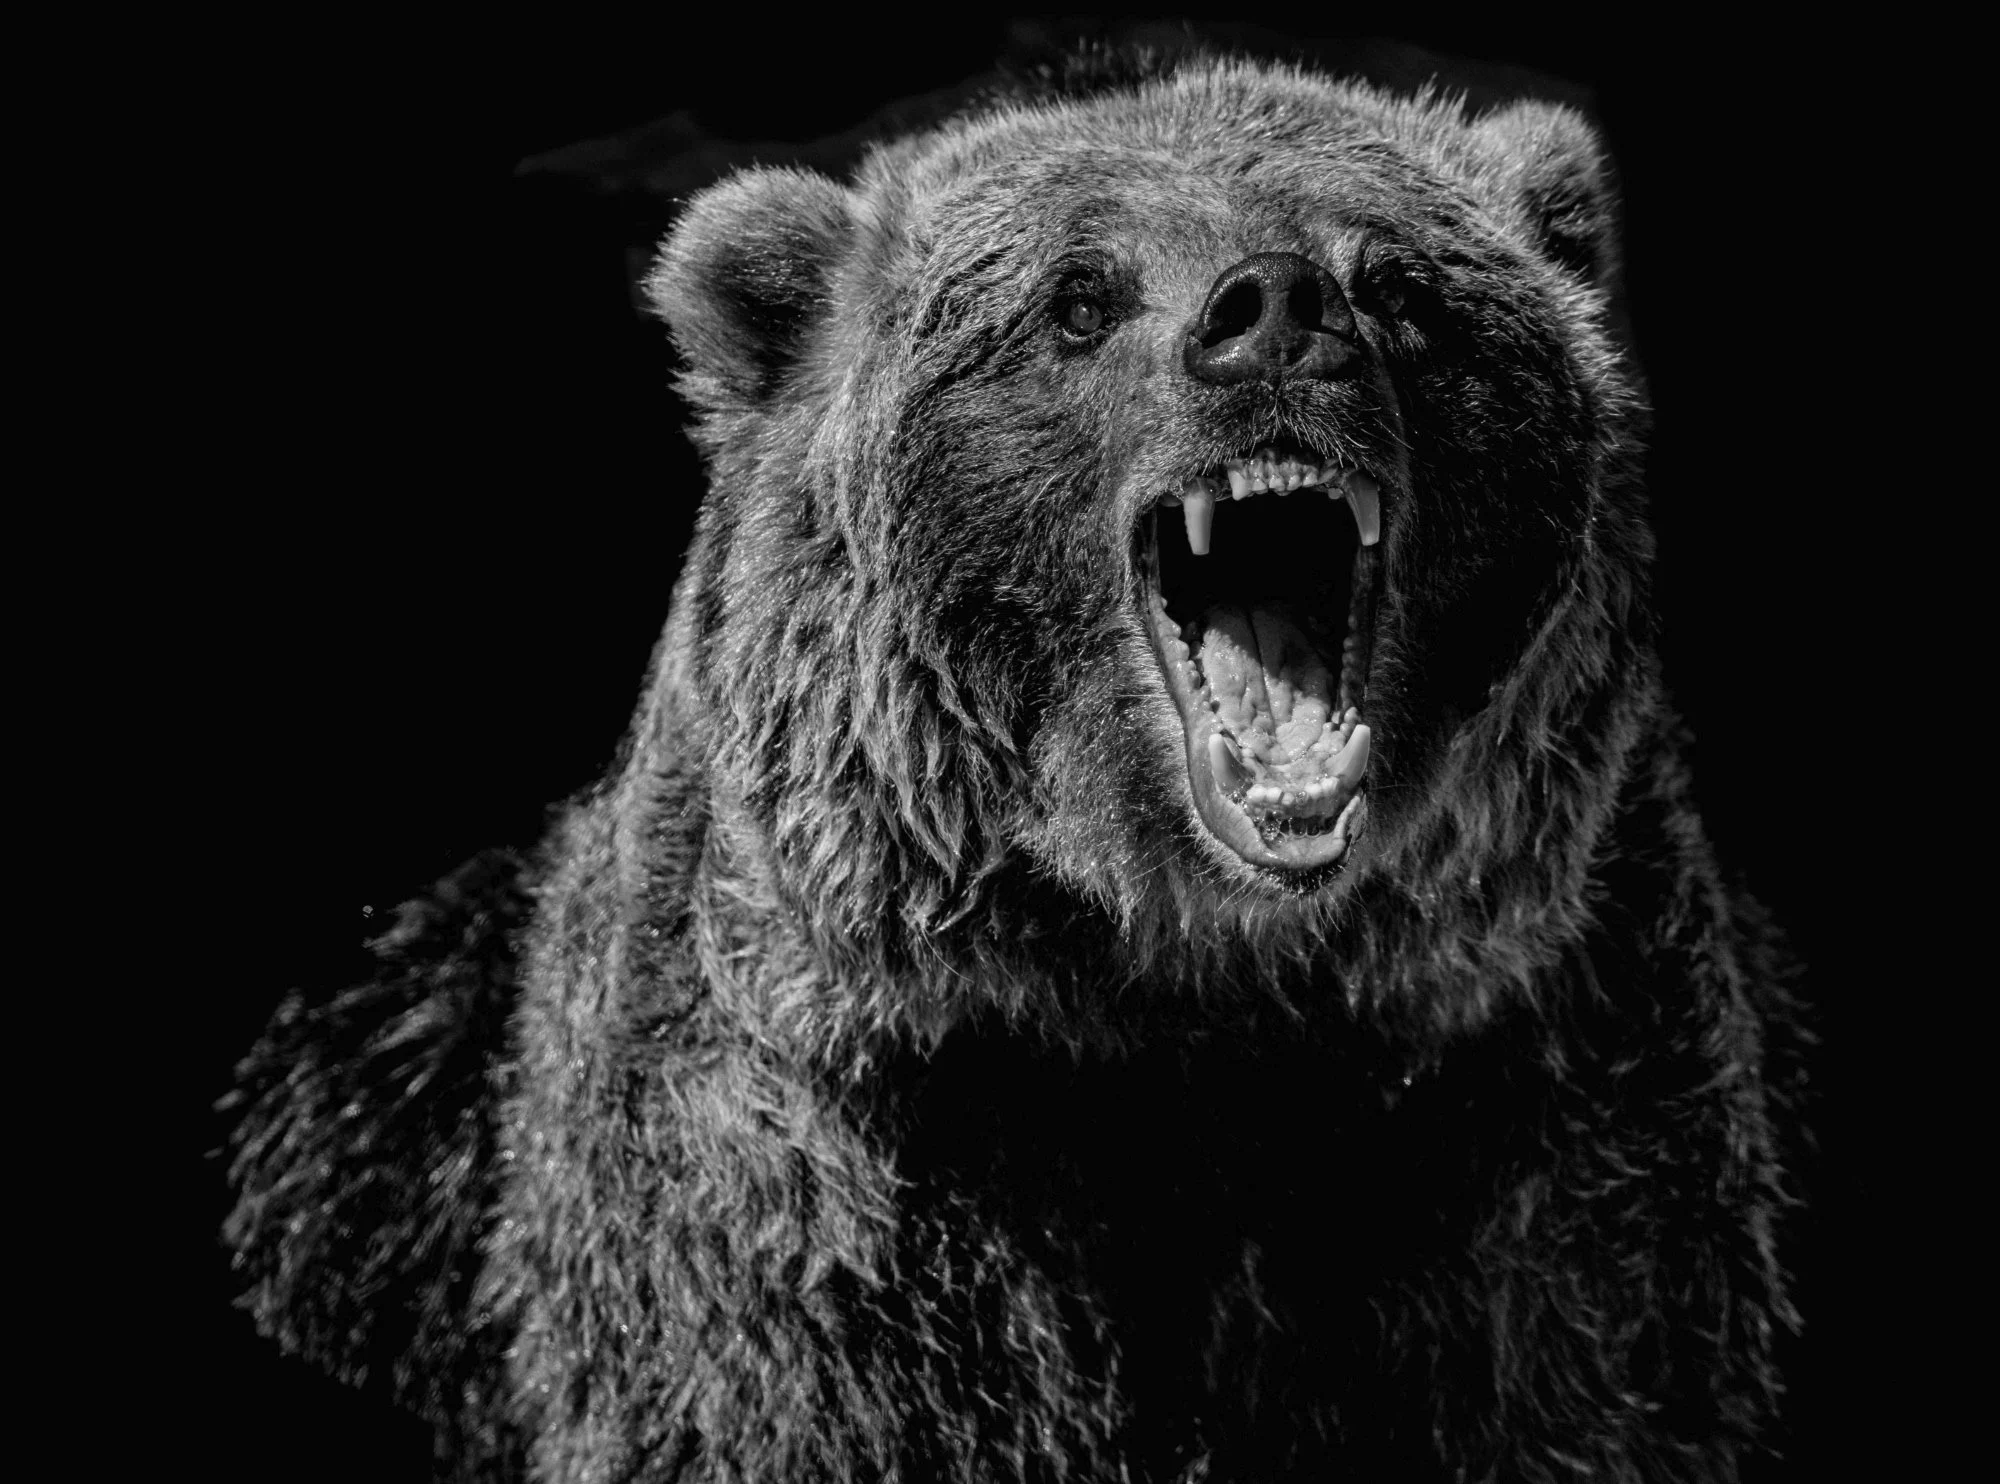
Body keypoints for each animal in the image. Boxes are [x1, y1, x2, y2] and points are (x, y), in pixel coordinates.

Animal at [223, 50, 1803, 1482]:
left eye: (1402, 287)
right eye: (1078, 300)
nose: (1273, 313)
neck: (1189, 992)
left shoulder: (1534, 1126)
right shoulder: (838, 1183)